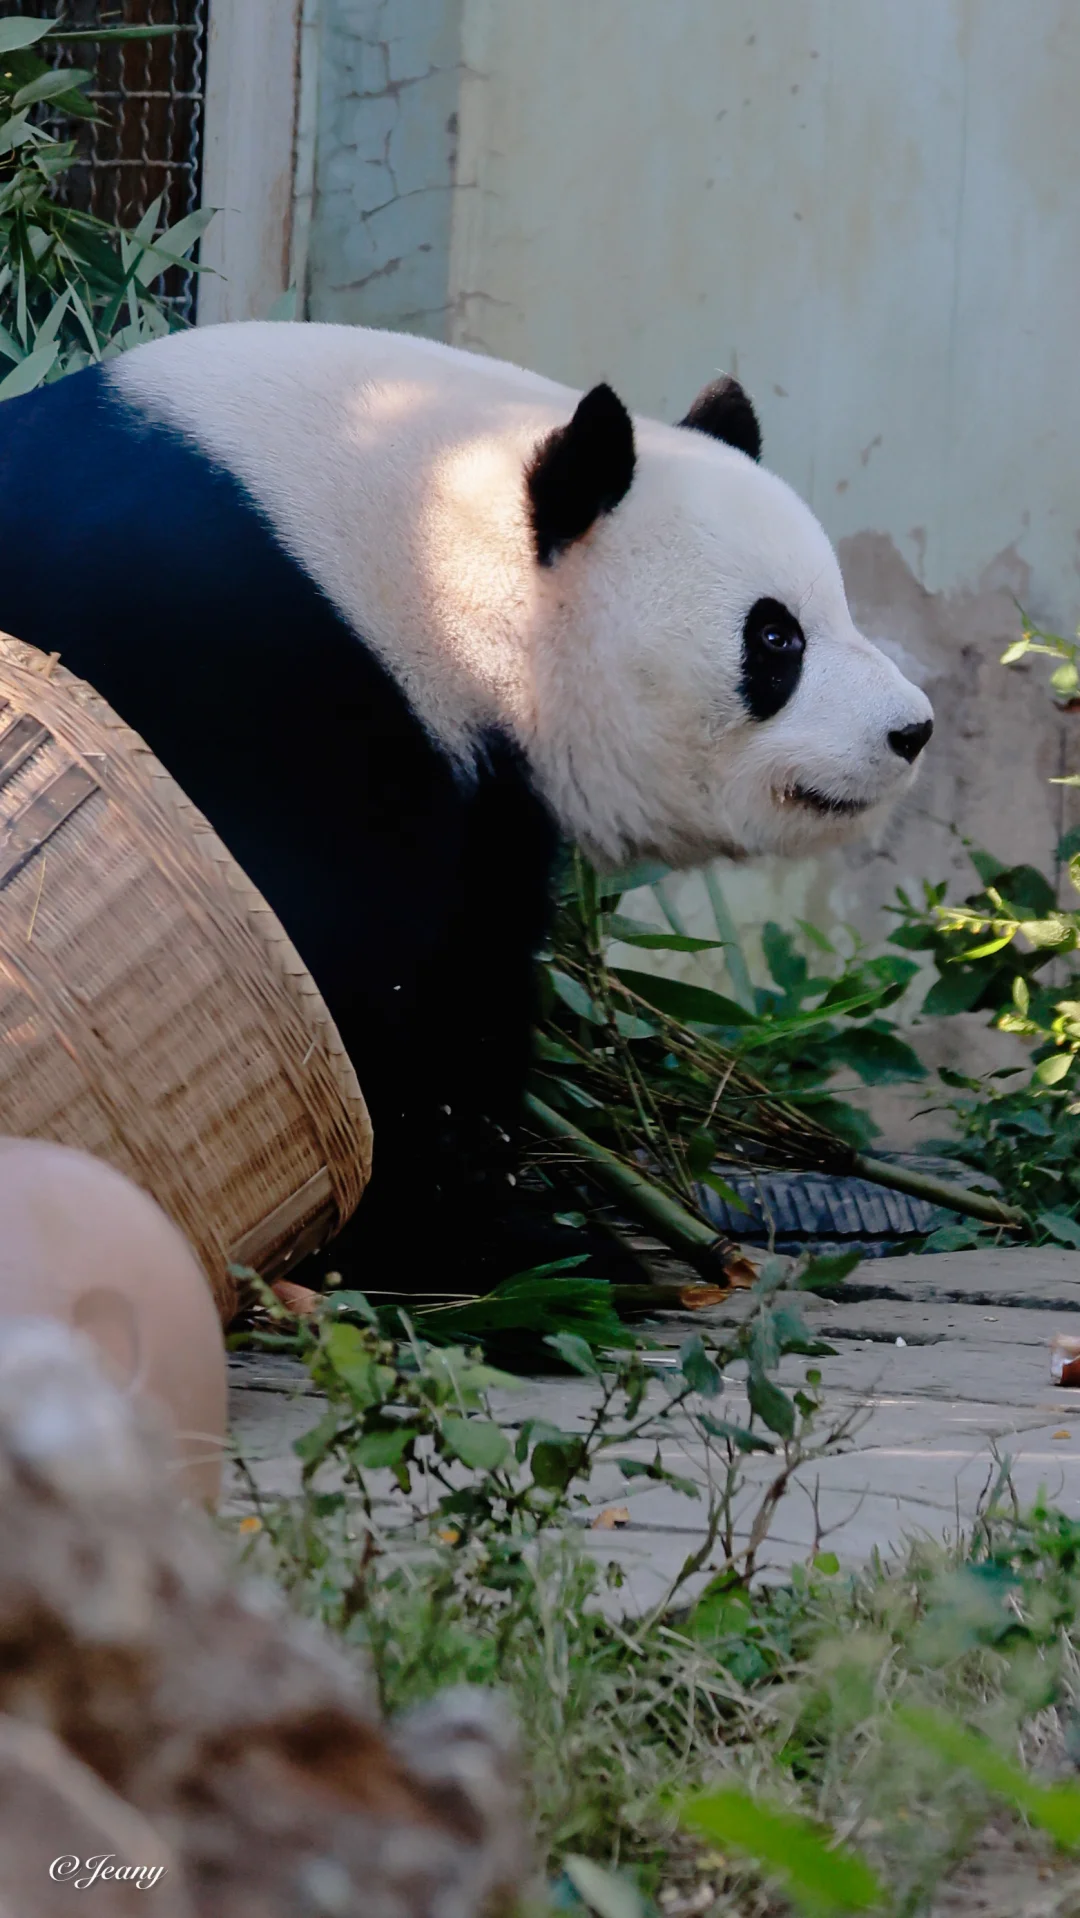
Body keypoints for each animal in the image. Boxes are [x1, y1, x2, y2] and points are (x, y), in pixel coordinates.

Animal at [0, 326, 932, 1288]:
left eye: (838, 608)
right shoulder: (244, 654)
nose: (912, 729)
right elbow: (346, 961)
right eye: (776, 637)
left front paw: (518, 1227)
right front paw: (455, 1234)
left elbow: (470, 968)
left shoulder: (482, 787)